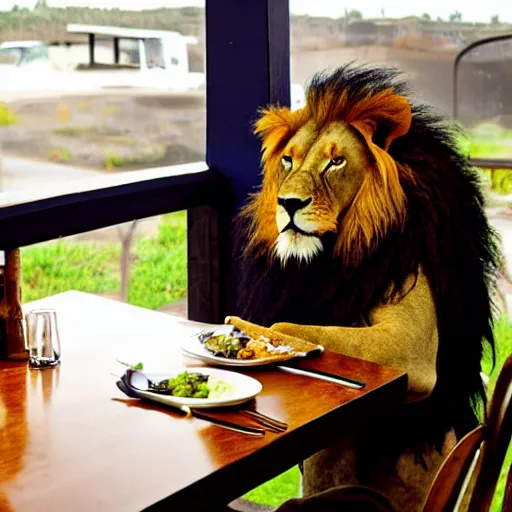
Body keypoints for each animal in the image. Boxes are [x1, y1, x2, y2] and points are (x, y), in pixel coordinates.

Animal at [226, 62, 502, 510]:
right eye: (288, 160)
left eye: (335, 162)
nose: (287, 203)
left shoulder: (410, 341)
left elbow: (283, 327)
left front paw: (240, 330)